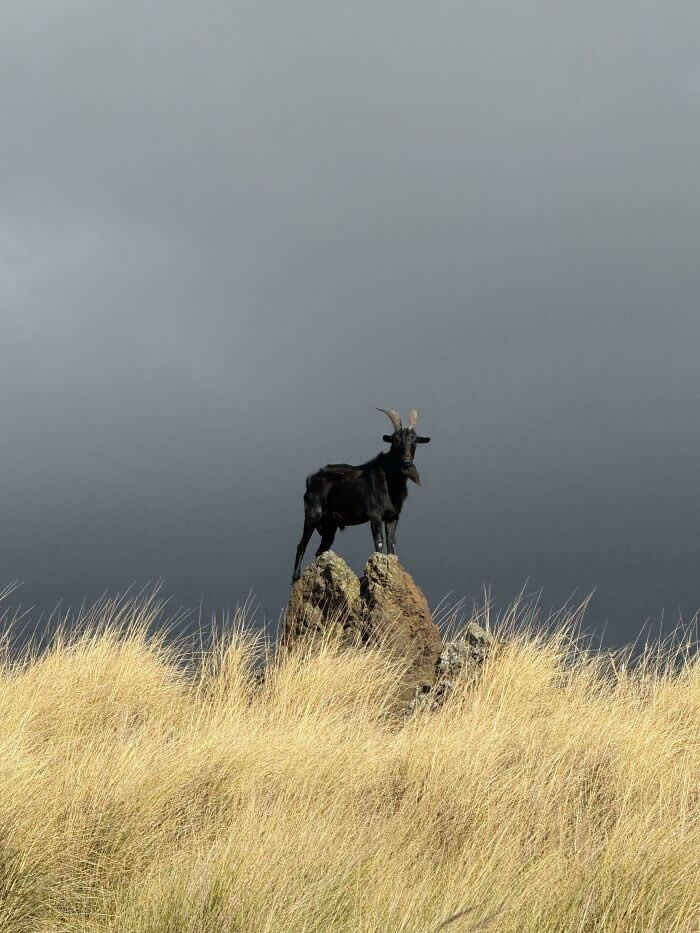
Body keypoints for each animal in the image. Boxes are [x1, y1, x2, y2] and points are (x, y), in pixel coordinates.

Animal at [292, 408, 431, 582]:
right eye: (395, 440)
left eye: (415, 441)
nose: (406, 461)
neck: (389, 481)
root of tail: (310, 480)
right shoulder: (375, 515)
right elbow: (379, 544)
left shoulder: (392, 517)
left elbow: (391, 545)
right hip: (312, 514)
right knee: (301, 545)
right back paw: (296, 577)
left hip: (330, 526)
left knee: (320, 551)